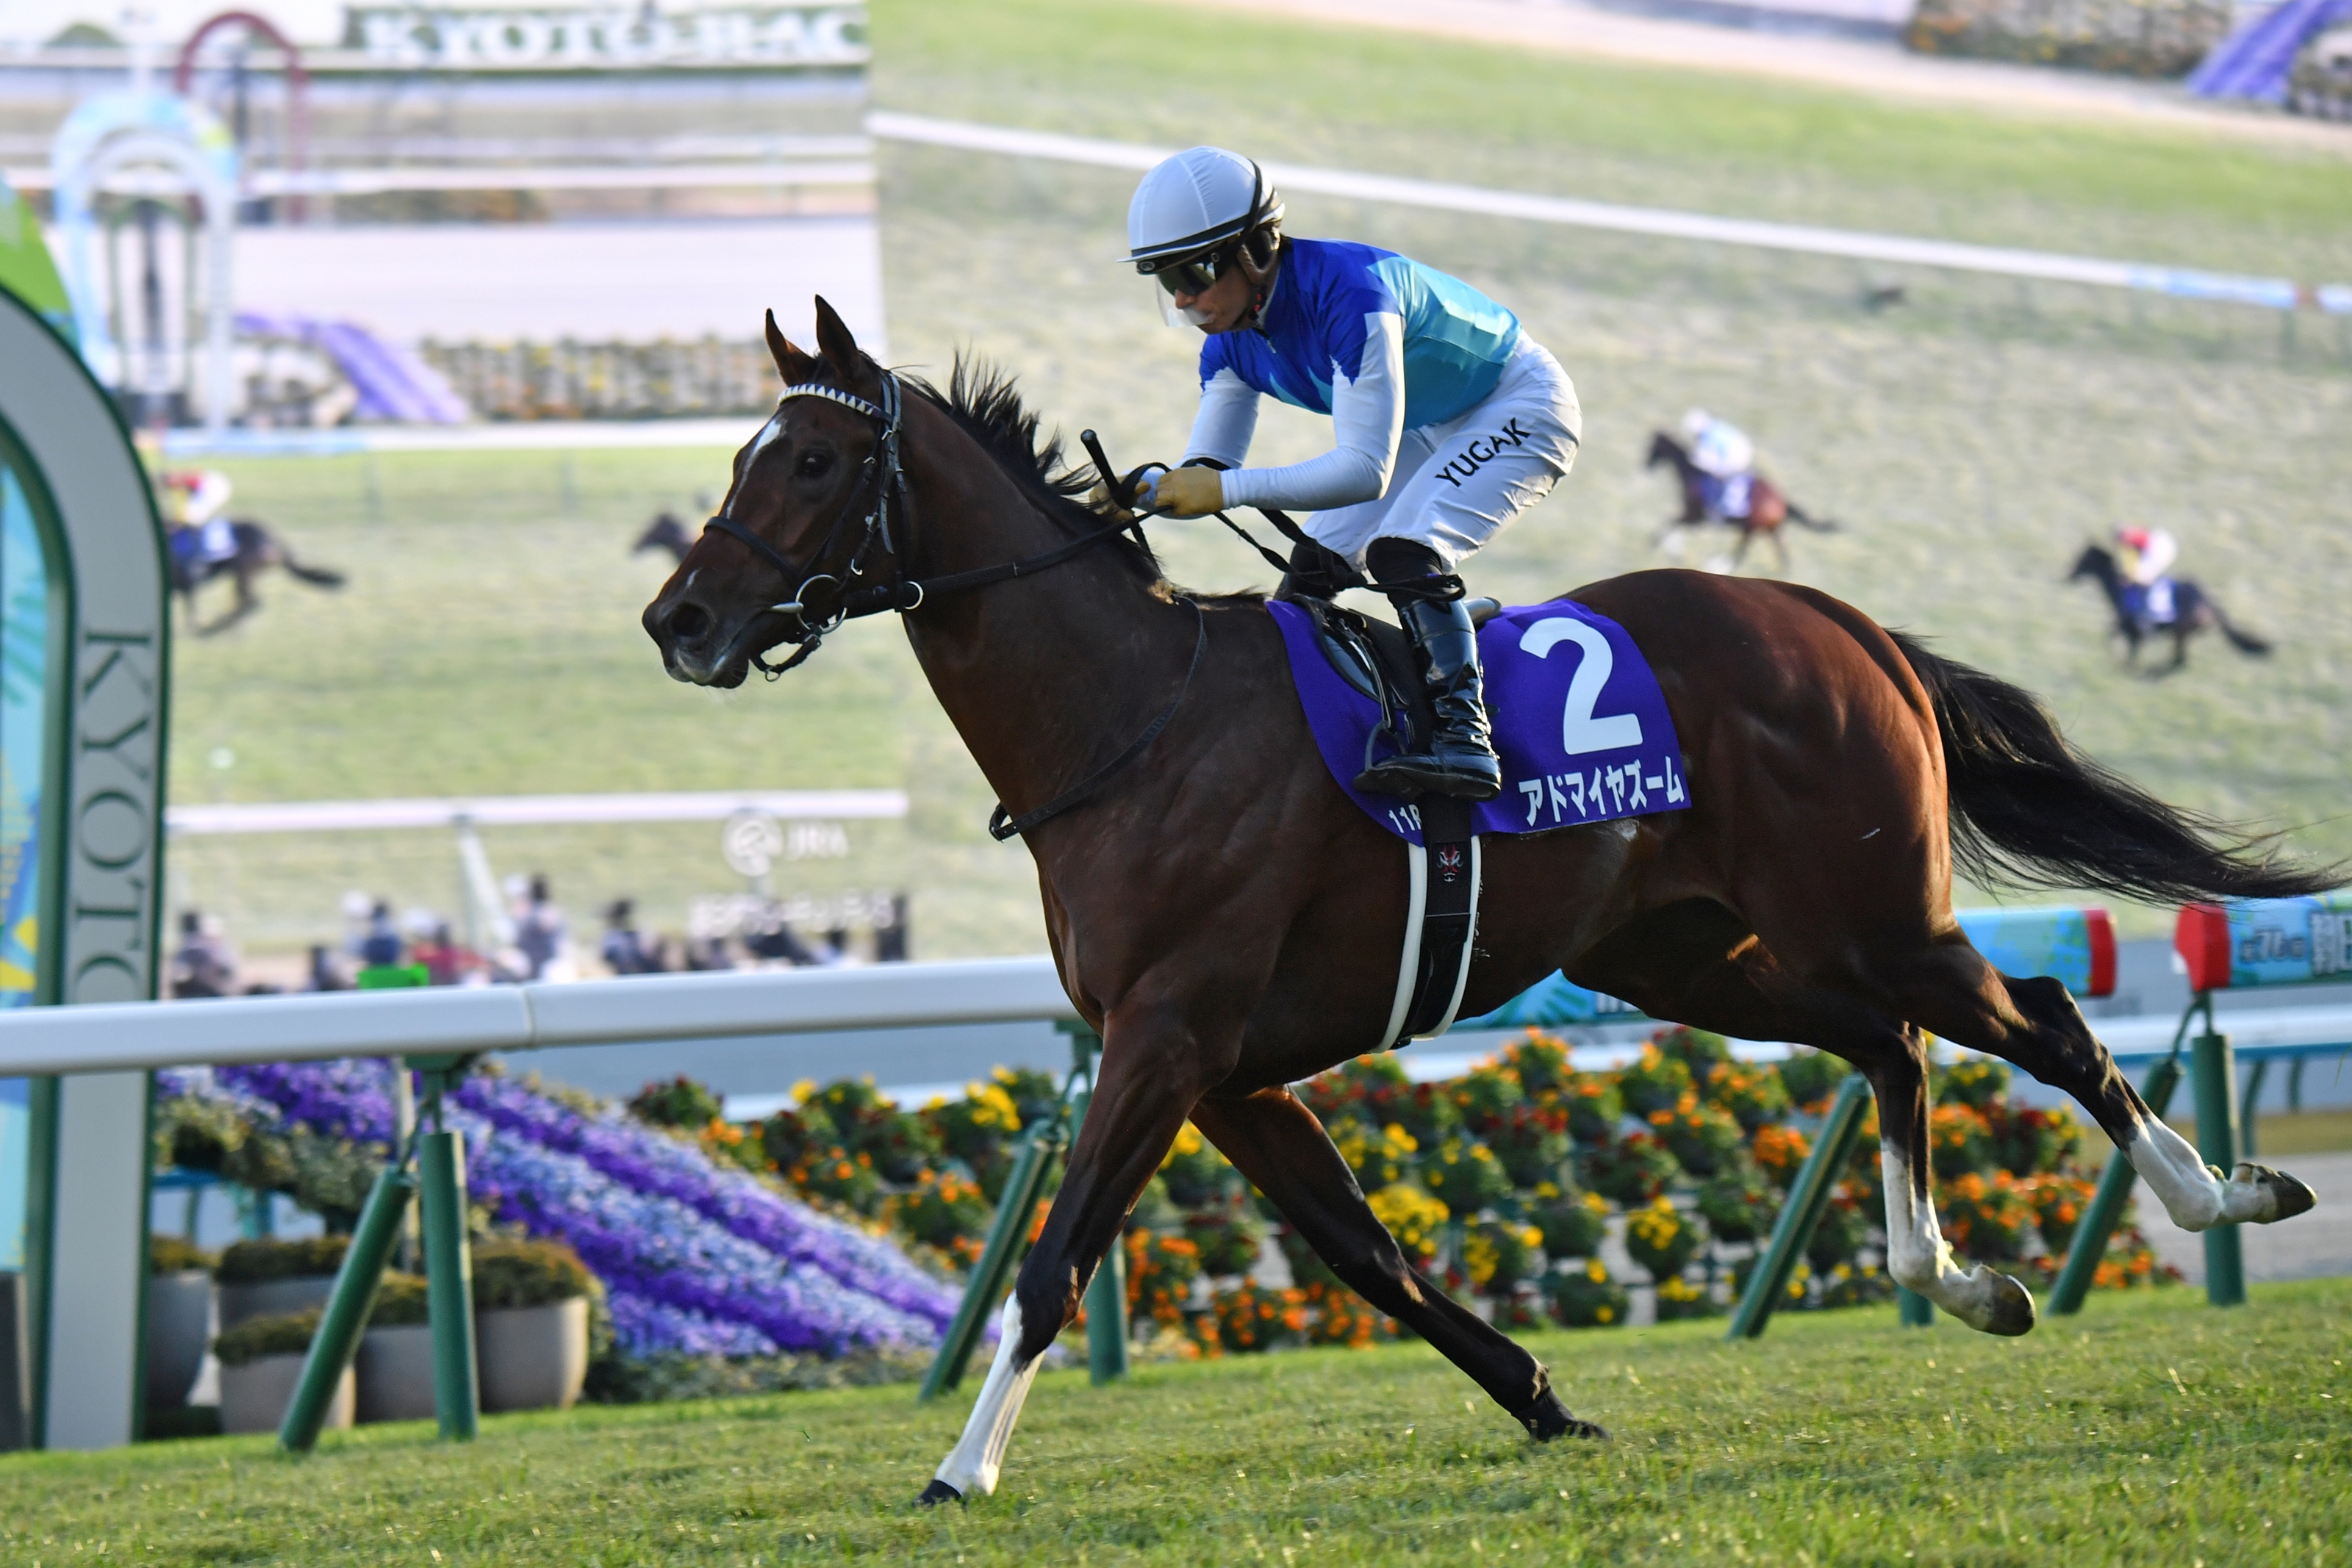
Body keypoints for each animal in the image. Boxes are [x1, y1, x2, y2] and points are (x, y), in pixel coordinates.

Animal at [167, 519, 345, 635]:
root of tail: (273, 539)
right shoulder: (183, 587)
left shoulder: (187, 585)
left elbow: (190, 613)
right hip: (244, 575)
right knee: (246, 603)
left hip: (244, 572)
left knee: (251, 602)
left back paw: (217, 627)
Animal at [1645, 430, 1836, 574]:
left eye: (1652, 447)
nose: (1645, 465)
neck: (1693, 474)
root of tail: (1783, 500)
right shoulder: (1693, 517)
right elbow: (1672, 524)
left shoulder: (1695, 517)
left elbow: (1671, 522)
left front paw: (1663, 547)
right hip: (1771, 530)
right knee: (1782, 553)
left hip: (1750, 528)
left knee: (1740, 554)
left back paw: (1716, 568)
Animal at [2067, 544, 2272, 676]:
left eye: (2084, 559)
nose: (2069, 575)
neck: (2121, 588)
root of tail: (2209, 602)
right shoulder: (2128, 628)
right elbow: (2114, 635)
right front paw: (2121, 660)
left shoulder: (2135, 630)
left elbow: (2123, 643)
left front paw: (2126, 665)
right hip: (2183, 634)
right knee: (2179, 660)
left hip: (2181, 632)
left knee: (2179, 661)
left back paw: (2151, 673)